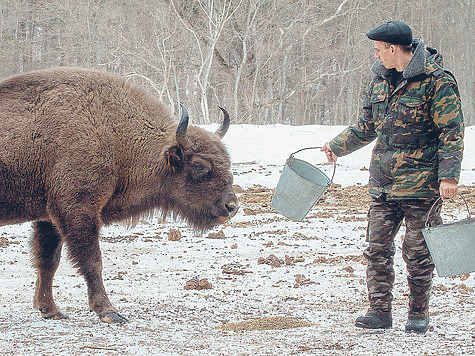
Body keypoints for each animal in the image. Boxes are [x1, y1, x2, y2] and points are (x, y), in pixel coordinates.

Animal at [0, 66, 238, 322]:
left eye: (227, 161)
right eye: (199, 166)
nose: (231, 207)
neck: (116, 136)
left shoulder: (48, 218)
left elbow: (48, 261)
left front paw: (51, 310)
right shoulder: (79, 210)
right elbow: (92, 261)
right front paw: (109, 312)